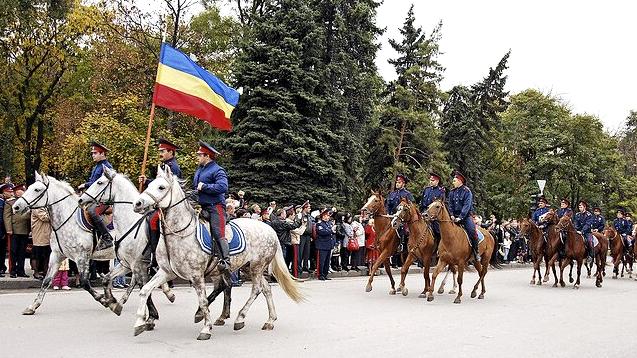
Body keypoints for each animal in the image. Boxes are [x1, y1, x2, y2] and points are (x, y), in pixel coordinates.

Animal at [131, 166, 304, 340]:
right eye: (149, 185)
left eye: (161, 187)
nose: (138, 203)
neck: (179, 233)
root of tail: (270, 229)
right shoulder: (166, 272)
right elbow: (145, 290)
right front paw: (140, 322)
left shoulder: (196, 276)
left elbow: (203, 301)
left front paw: (206, 328)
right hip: (248, 267)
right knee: (266, 288)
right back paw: (270, 320)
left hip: (257, 267)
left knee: (256, 289)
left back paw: (240, 318)